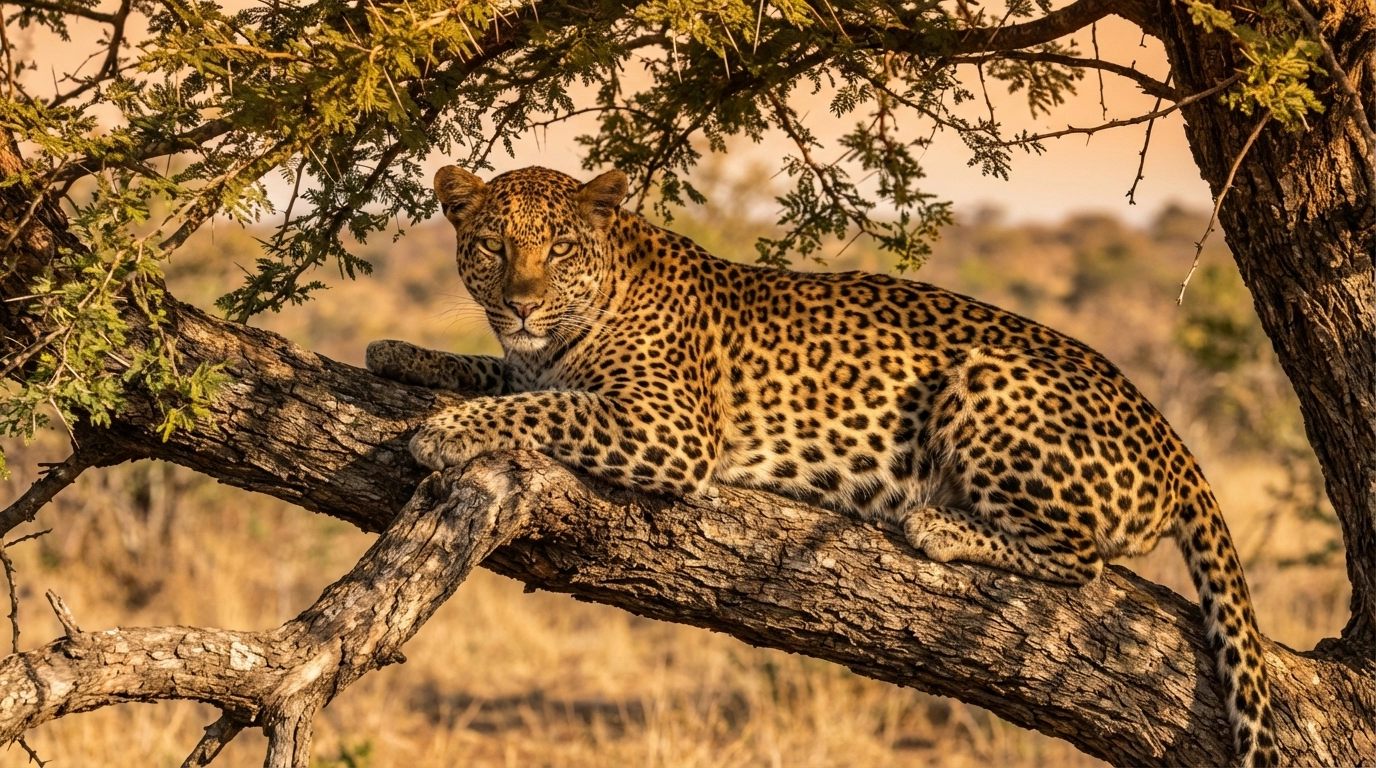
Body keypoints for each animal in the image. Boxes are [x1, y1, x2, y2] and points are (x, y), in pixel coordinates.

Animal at [366, 164, 1278, 767]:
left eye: (557, 247)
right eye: (491, 246)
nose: (520, 302)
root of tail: (1175, 443)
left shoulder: (664, 424)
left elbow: (537, 409)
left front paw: (444, 431)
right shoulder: (541, 369)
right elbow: (500, 375)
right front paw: (397, 351)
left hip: (989, 380)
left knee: (1081, 558)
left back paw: (937, 523)